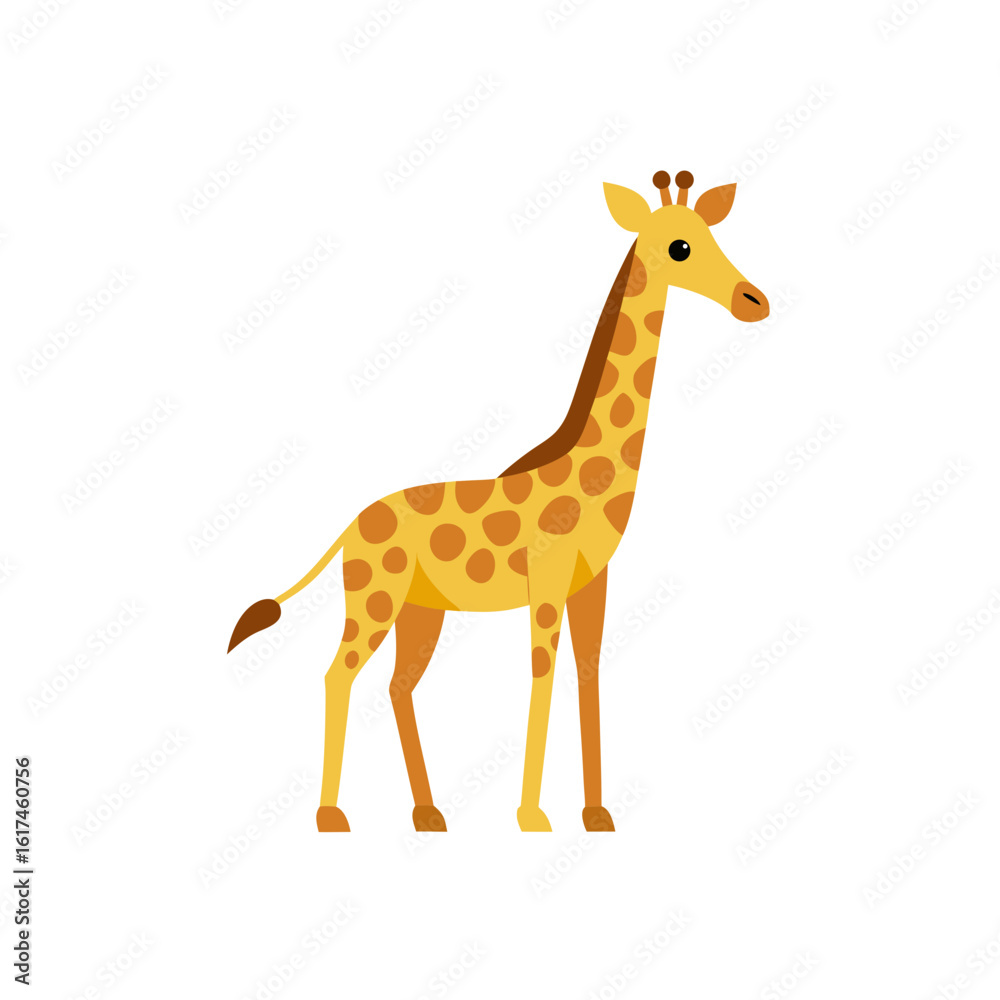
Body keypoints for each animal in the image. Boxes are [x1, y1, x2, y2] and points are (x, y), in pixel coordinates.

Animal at [228, 169, 769, 833]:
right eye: (681, 247)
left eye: (711, 233)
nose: (754, 301)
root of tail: (349, 527)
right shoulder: (547, 581)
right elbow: (541, 675)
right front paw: (532, 815)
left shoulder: (594, 584)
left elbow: (587, 673)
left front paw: (596, 812)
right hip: (376, 598)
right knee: (339, 674)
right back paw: (332, 816)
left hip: (420, 610)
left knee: (398, 685)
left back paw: (428, 812)